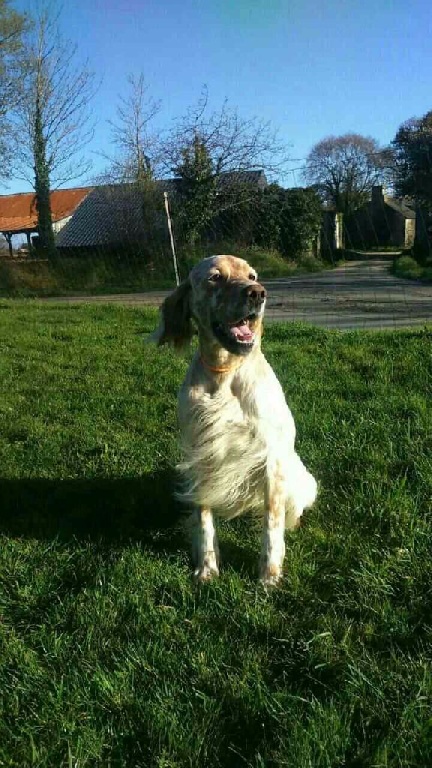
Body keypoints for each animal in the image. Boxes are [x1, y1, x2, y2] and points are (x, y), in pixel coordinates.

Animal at [152, 255, 318, 584]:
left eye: (252, 275)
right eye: (215, 277)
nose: (258, 293)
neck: (224, 373)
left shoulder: (271, 459)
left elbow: (272, 524)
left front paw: (269, 575)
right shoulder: (202, 454)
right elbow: (204, 518)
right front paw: (207, 567)